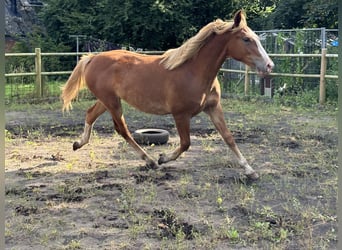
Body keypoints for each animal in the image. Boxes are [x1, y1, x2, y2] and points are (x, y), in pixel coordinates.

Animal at [61, 10, 274, 180]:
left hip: (107, 100)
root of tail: (92, 58)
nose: (269, 65)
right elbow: (186, 143)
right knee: (122, 129)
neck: (194, 71)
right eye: (246, 39)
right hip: (112, 102)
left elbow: (228, 137)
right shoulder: (180, 114)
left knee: (91, 114)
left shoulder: (213, 108)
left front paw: (250, 171)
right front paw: (163, 158)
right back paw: (150, 161)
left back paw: (78, 143)